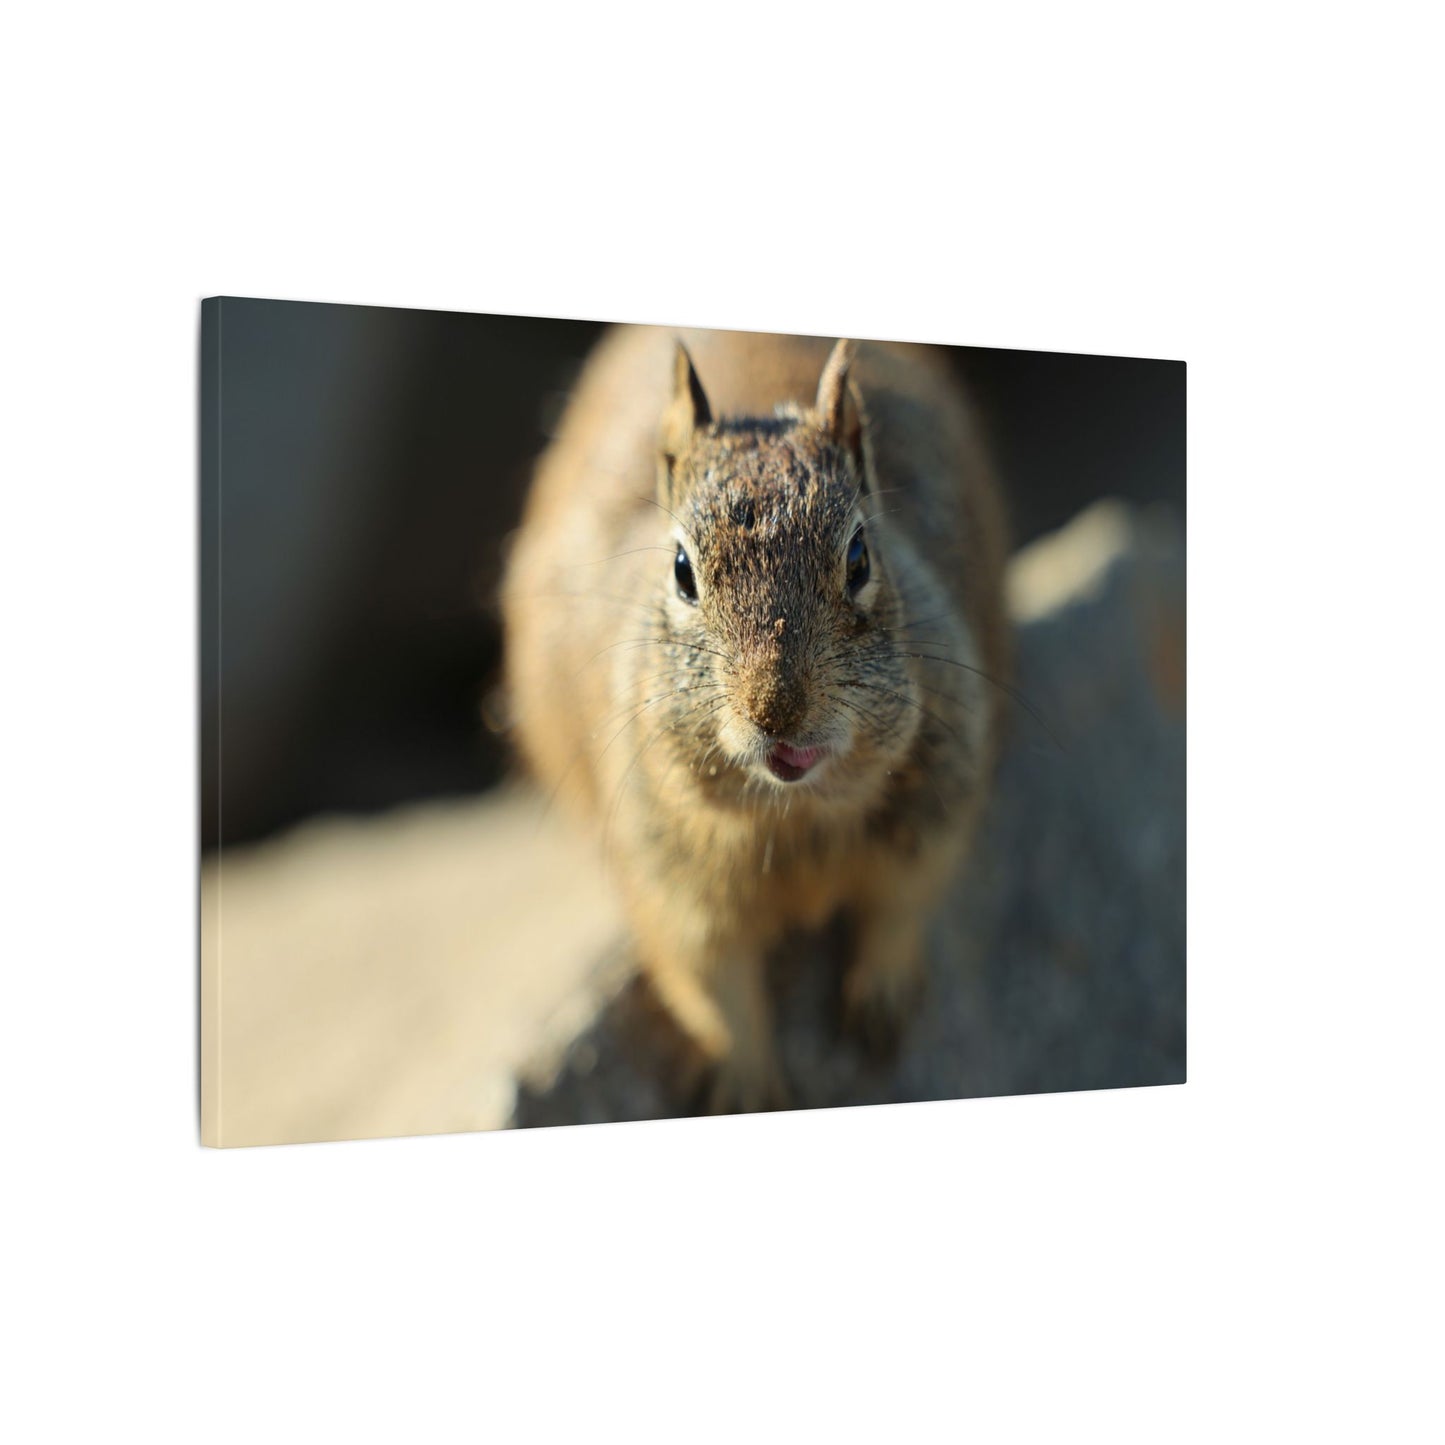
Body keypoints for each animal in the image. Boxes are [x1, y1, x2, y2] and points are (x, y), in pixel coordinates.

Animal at [501, 326, 1011, 1112]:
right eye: (681, 570)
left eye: (861, 555)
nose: (777, 709)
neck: (795, 818)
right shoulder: (669, 888)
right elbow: (712, 992)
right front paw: (746, 1086)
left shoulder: (936, 808)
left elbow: (902, 903)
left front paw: (880, 997)